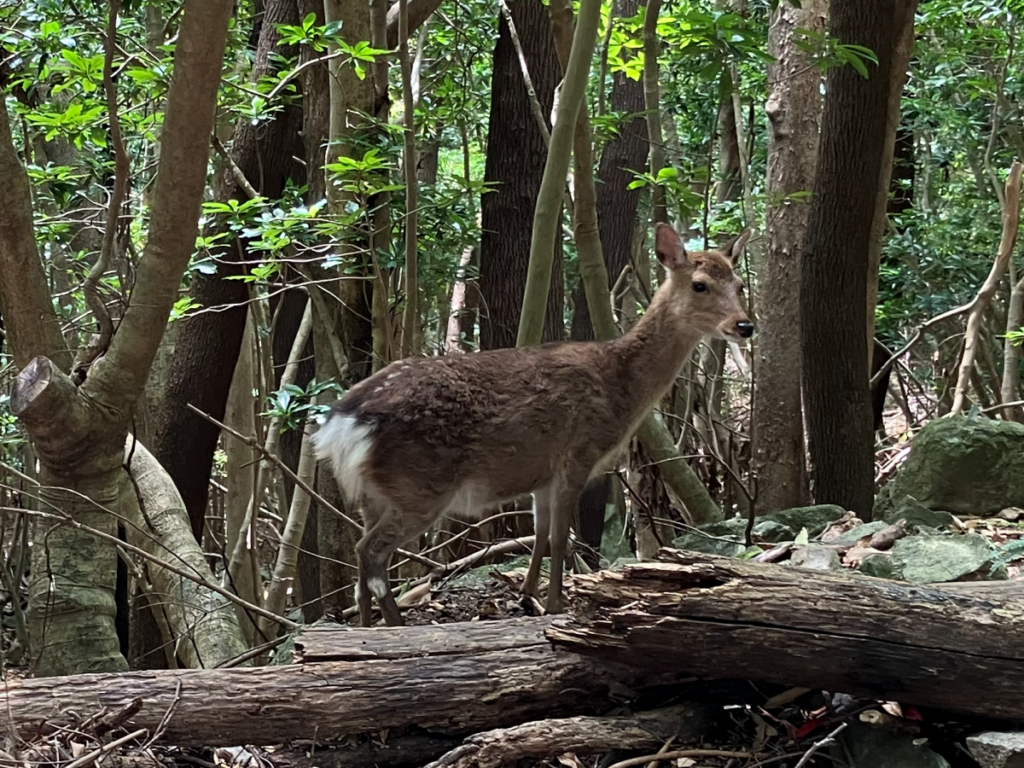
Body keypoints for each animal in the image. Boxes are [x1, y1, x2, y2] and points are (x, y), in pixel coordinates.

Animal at [312, 222, 753, 627]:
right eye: (699, 285)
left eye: (739, 284)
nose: (744, 325)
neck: (620, 387)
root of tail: (342, 424)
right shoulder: (579, 452)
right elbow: (561, 536)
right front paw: (556, 604)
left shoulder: (542, 471)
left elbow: (539, 534)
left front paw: (528, 594)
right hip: (420, 485)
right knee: (371, 554)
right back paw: (394, 627)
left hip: (371, 492)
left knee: (360, 565)